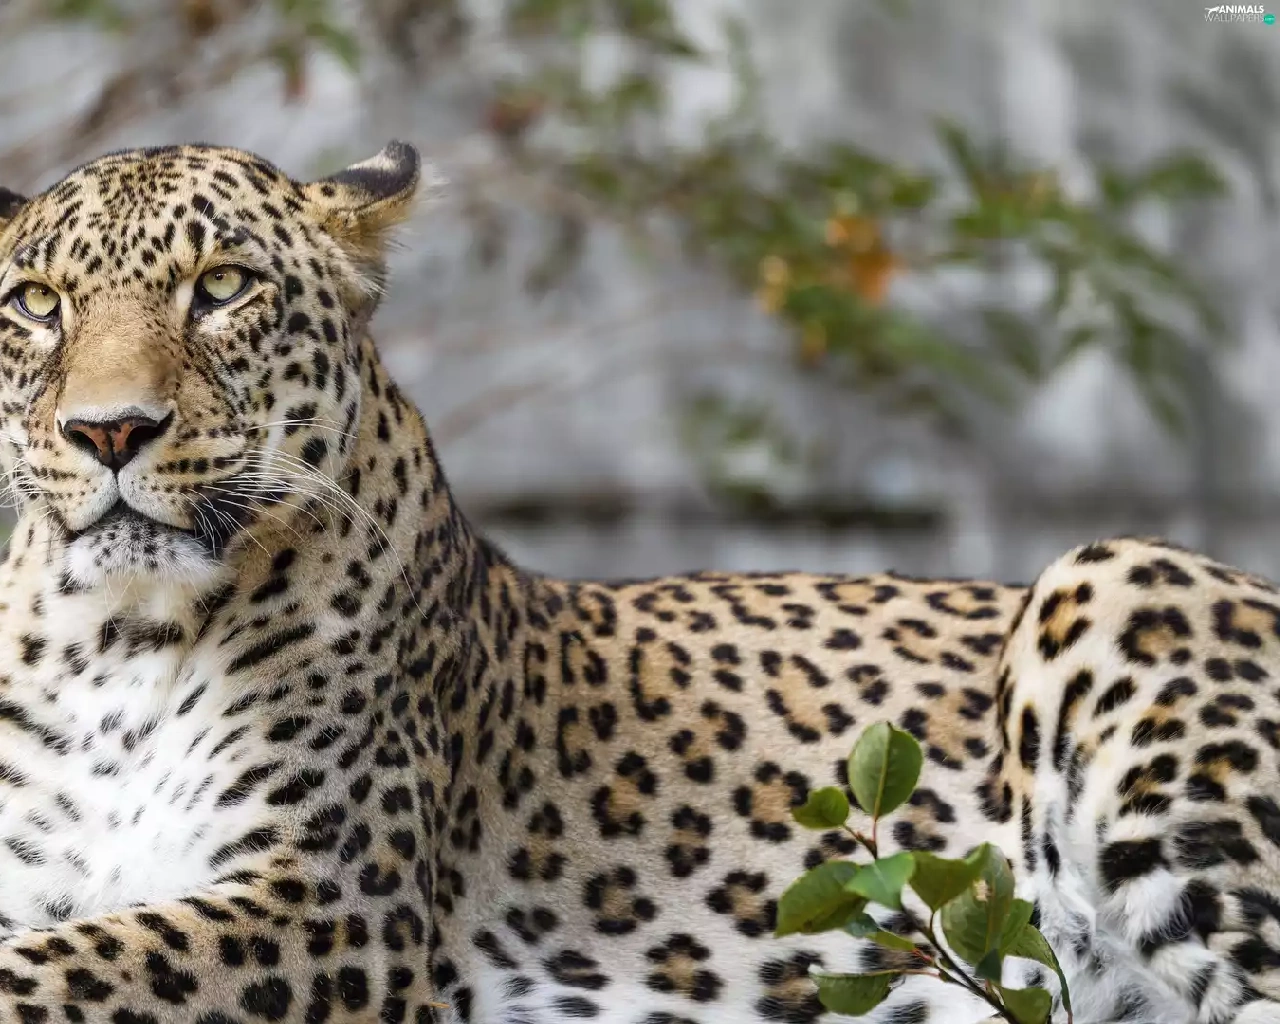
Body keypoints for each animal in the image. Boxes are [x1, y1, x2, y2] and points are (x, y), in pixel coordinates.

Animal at [0, 138, 1274, 1024]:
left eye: (221, 287)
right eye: (37, 304)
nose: (108, 431)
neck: (115, 650)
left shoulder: (331, 903)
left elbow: (65, 963)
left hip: (1110, 581)